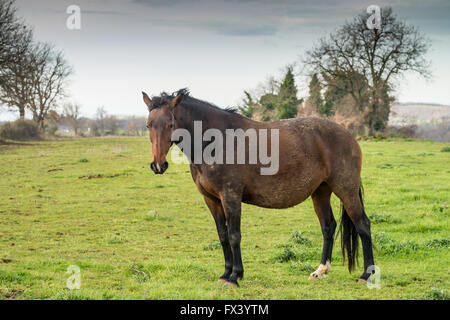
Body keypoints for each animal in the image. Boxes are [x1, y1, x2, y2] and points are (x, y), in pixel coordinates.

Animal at [142, 88, 374, 288]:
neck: (217, 141)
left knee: (362, 224)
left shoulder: (230, 196)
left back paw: (367, 275)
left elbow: (234, 235)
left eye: (170, 124)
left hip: (346, 189)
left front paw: (235, 277)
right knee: (328, 226)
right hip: (321, 192)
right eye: (148, 125)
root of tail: (349, 135)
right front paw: (226, 273)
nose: (158, 165)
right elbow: (223, 236)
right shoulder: (212, 199)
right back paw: (320, 271)